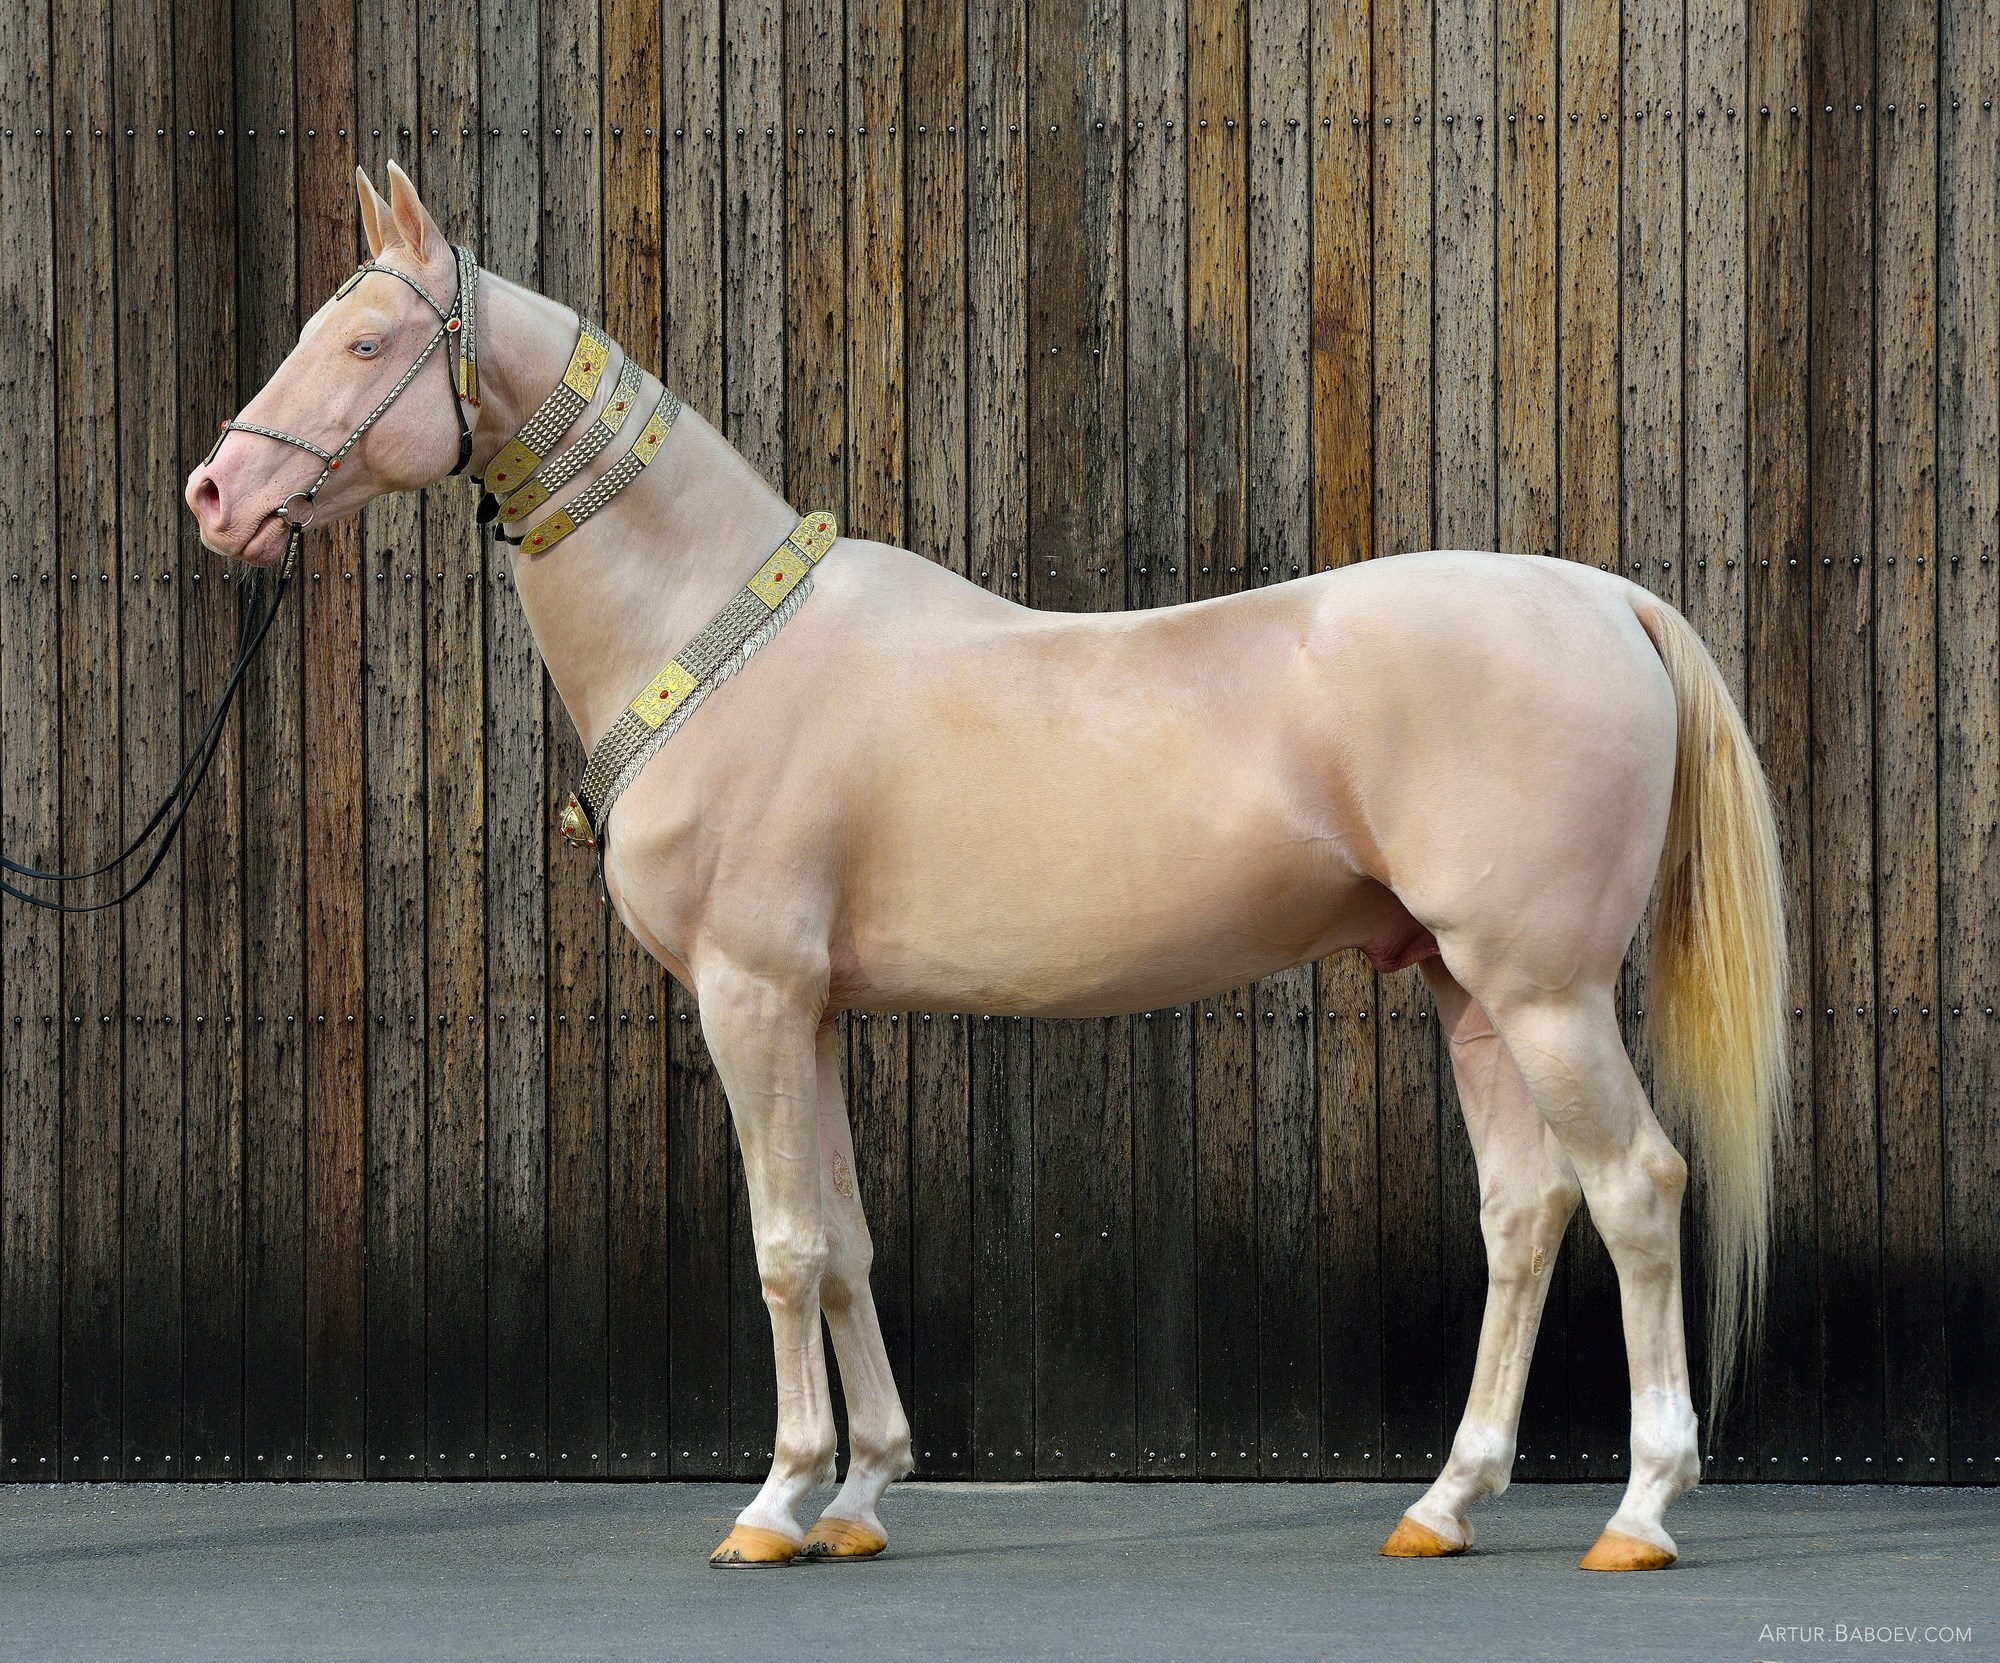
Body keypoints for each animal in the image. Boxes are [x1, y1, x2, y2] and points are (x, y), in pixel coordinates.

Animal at [184, 165, 1784, 1575]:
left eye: (366, 341)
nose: (215, 493)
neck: (713, 630)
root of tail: (1605, 597)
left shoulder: (749, 995)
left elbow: (781, 1242)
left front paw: (774, 1501)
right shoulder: (813, 1011)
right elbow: (843, 1239)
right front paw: (860, 1493)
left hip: (1544, 988)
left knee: (1635, 1188)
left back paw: (1639, 1509)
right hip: (1467, 989)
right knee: (1525, 1209)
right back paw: (1446, 1501)